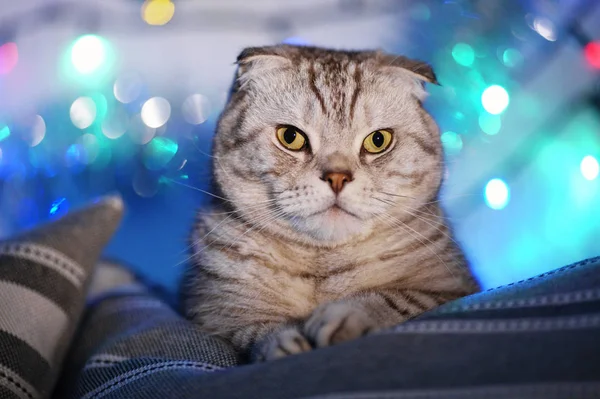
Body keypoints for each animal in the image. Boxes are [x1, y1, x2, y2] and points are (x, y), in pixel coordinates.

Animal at [180, 43, 480, 362]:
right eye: (290, 137)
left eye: (378, 140)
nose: (337, 178)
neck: (323, 265)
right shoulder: (210, 312)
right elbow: (254, 330)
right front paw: (283, 341)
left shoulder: (454, 289)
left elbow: (395, 299)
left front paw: (344, 316)